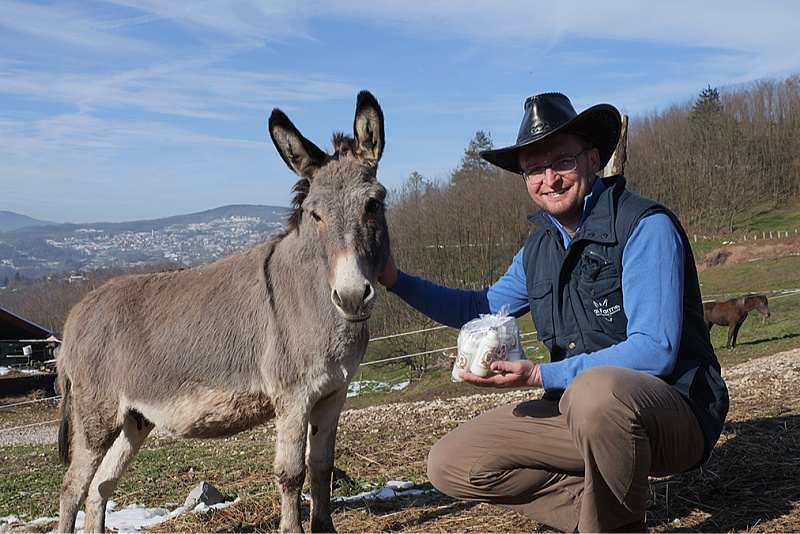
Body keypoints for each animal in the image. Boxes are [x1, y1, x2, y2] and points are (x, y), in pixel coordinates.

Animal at [55, 92, 390, 534]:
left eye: (374, 204)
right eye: (315, 214)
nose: (352, 297)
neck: (311, 295)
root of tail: (73, 317)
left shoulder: (334, 393)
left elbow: (321, 468)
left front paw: (325, 527)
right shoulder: (293, 396)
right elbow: (291, 473)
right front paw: (293, 528)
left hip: (134, 420)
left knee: (99, 488)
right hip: (96, 416)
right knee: (72, 489)